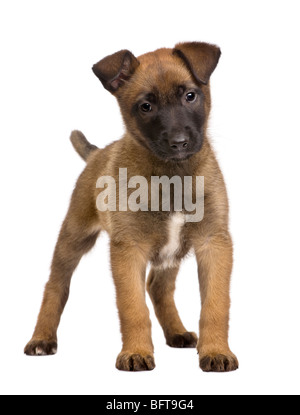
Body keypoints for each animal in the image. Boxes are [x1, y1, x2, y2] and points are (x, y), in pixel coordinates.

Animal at [24, 42, 239, 374]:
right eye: (145, 106)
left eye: (190, 96)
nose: (179, 143)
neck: (172, 175)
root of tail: (97, 153)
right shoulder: (129, 249)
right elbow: (132, 307)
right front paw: (136, 352)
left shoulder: (213, 242)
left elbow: (216, 305)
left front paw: (215, 350)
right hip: (74, 237)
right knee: (56, 285)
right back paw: (41, 339)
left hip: (171, 253)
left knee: (157, 287)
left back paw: (176, 332)